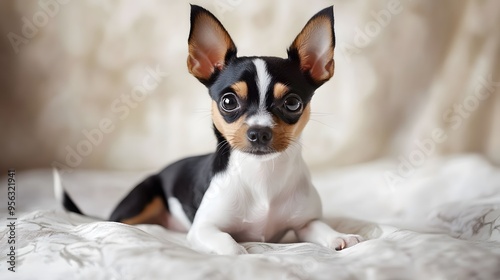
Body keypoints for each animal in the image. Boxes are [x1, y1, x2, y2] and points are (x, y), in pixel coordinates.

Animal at [59, 4, 364, 255]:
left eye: (292, 103)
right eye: (228, 101)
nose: (259, 132)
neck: (261, 175)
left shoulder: (304, 223)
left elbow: (320, 227)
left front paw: (339, 236)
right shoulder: (204, 229)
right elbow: (232, 246)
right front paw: (241, 252)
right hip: (140, 202)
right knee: (115, 221)